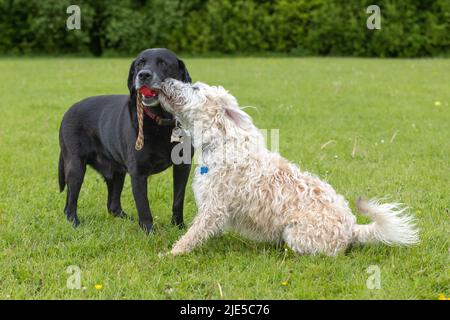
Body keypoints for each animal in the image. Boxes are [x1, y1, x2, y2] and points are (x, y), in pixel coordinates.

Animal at [158, 79, 418, 256]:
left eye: (195, 88)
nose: (165, 80)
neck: (220, 142)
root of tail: (352, 228)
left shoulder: (214, 207)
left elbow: (192, 234)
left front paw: (172, 253)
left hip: (295, 233)